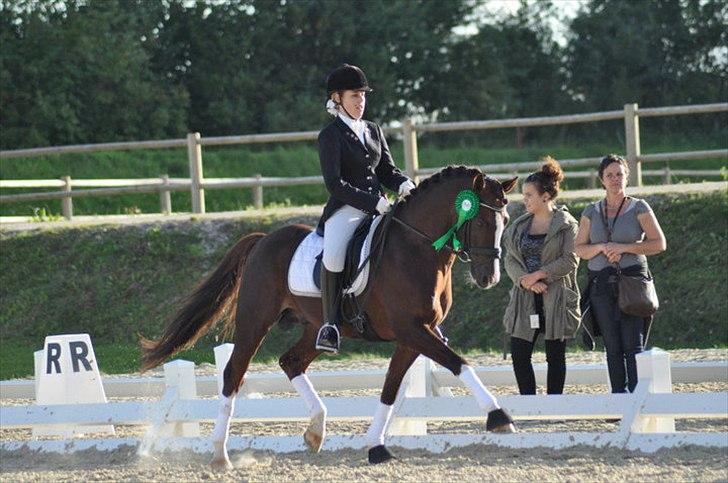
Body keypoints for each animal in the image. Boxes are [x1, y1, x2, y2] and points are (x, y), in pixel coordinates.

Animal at [140, 165, 519, 469]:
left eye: (506, 221)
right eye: (481, 220)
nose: (489, 278)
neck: (417, 249)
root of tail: (263, 240)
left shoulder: (414, 335)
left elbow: (391, 388)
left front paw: (376, 447)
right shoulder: (412, 330)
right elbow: (459, 363)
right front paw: (499, 416)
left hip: (315, 327)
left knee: (291, 361)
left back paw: (316, 431)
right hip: (255, 320)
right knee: (234, 372)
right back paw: (220, 455)